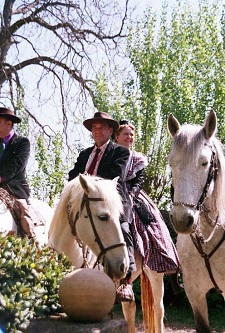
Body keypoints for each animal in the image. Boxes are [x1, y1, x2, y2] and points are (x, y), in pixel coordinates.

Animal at [48, 174, 164, 332]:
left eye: (120, 217)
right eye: (103, 217)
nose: (123, 266)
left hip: (155, 275)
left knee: (158, 309)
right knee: (130, 308)